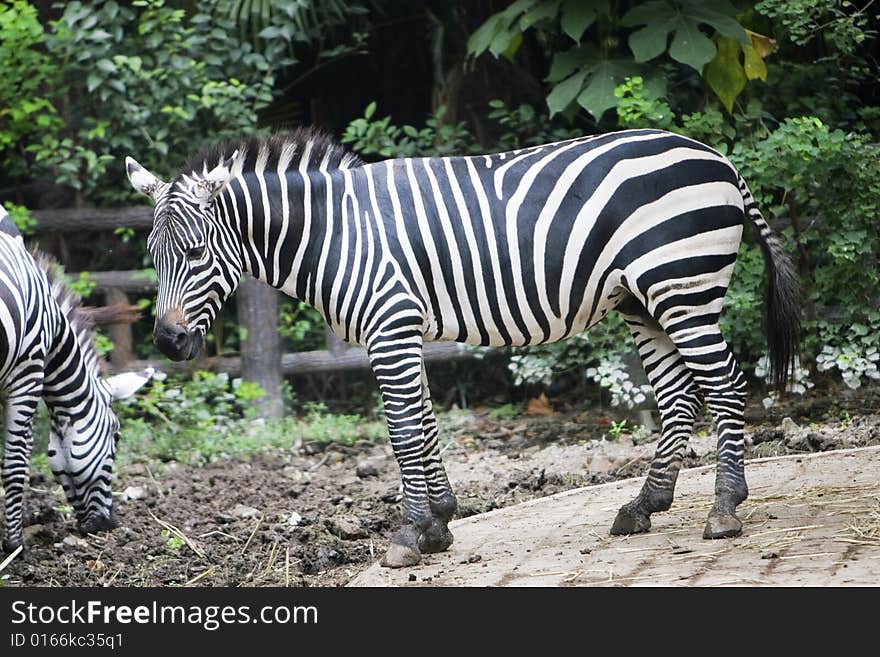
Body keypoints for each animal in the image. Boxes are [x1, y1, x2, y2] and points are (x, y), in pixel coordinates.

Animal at [0, 202, 151, 552]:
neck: (55, 332)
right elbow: (15, 461)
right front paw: (14, 544)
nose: (109, 524)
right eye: (116, 437)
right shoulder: (26, 374)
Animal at [127, 127, 800, 564]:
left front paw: (409, 535)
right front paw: (440, 525)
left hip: (682, 286)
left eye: (196, 253)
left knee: (725, 383)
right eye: (153, 258)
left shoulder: (389, 325)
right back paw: (645, 506)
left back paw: (724, 510)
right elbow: (424, 425)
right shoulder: (401, 329)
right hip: (643, 299)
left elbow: (403, 431)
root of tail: (717, 157)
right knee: (679, 395)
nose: (167, 342)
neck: (335, 233)